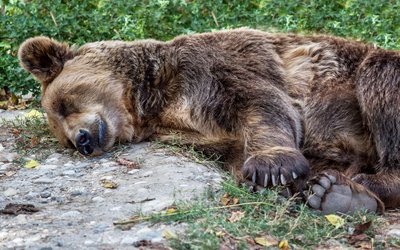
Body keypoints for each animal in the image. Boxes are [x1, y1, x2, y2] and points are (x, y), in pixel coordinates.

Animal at [18, 28, 400, 214]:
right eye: (63, 138)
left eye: (65, 103)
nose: (82, 140)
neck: (153, 101)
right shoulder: (198, 133)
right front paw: (302, 186)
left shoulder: (217, 66)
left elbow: (262, 103)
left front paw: (271, 168)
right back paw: (340, 195)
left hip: (365, 71)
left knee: (379, 79)